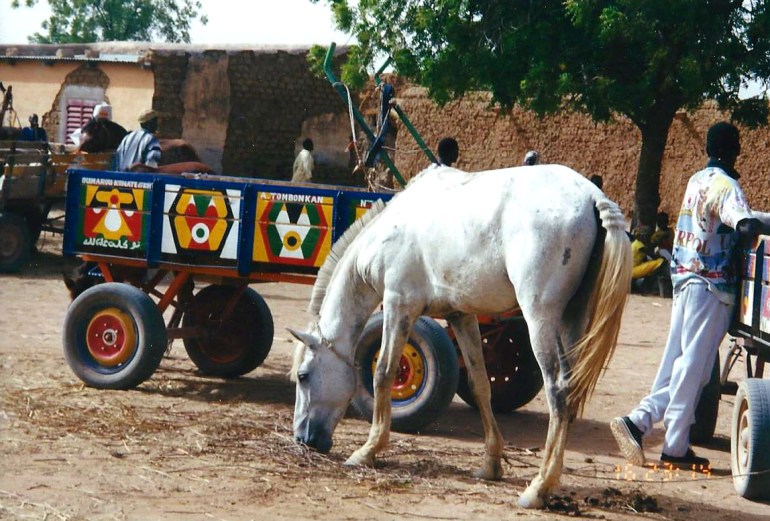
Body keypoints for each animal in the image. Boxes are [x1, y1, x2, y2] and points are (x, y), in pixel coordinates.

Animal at [289, 164, 632, 509]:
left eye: (304, 376)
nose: (303, 438)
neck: (387, 231)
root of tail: (592, 195)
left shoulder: (399, 305)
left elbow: (383, 373)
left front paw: (368, 450)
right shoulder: (461, 316)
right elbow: (480, 386)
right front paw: (491, 464)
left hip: (540, 318)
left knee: (558, 392)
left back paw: (538, 488)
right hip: (571, 321)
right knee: (570, 391)